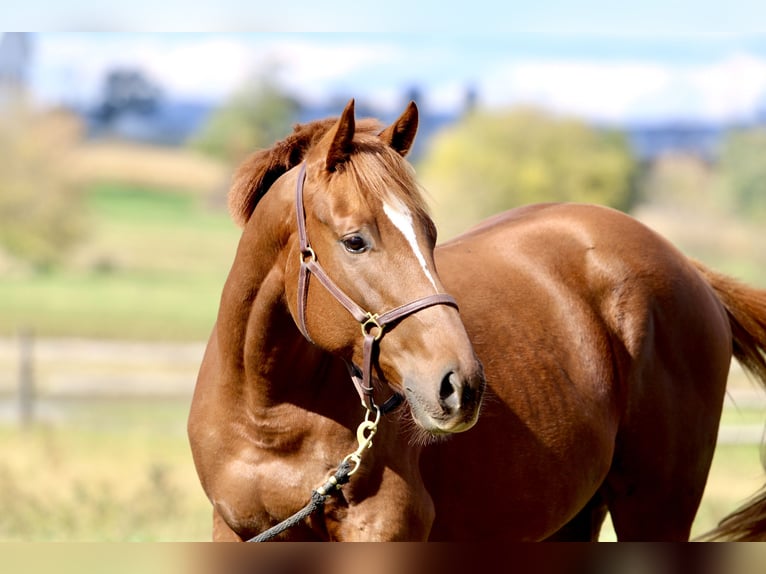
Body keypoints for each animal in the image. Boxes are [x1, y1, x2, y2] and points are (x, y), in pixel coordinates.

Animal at [189, 99, 766, 544]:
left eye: (430, 232)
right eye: (355, 241)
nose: (459, 385)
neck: (270, 413)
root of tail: (687, 266)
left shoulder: (383, 530)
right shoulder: (238, 531)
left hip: (656, 509)